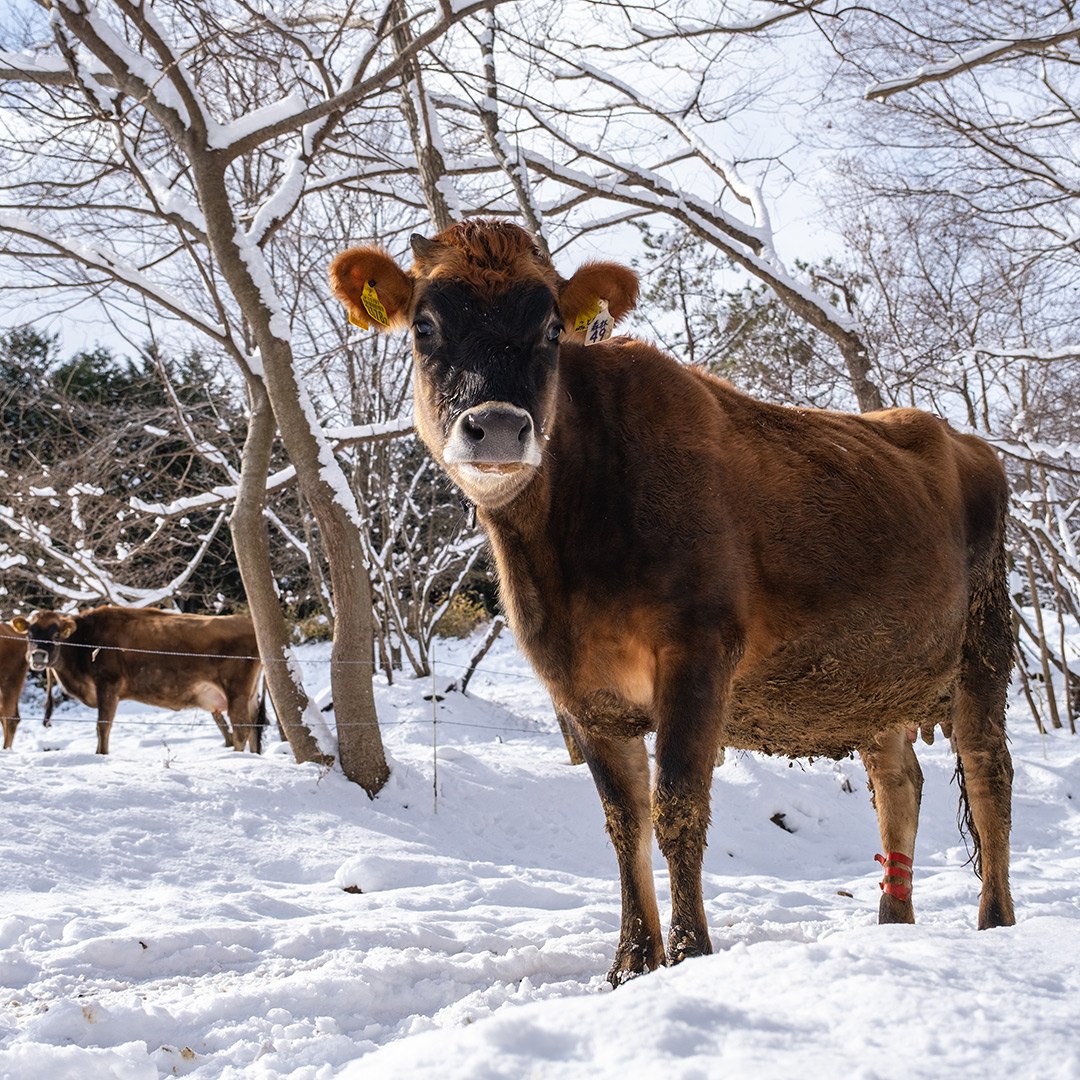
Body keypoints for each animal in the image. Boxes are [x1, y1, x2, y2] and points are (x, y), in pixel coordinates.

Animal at [9, 604, 264, 756]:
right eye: (30, 633)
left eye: (55, 634)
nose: (38, 656)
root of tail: (250, 623)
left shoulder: (108, 684)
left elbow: (103, 726)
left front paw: (101, 755)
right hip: (249, 695)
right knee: (254, 727)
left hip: (237, 692)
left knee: (241, 729)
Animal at [326, 217, 1010, 989]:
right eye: (425, 325)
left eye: (552, 329)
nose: (497, 426)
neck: (568, 550)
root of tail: (961, 439)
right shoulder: (579, 684)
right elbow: (625, 820)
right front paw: (630, 963)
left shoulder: (698, 649)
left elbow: (678, 803)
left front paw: (688, 953)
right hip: (872, 678)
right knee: (898, 784)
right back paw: (893, 922)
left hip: (984, 643)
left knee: (988, 777)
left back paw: (997, 923)